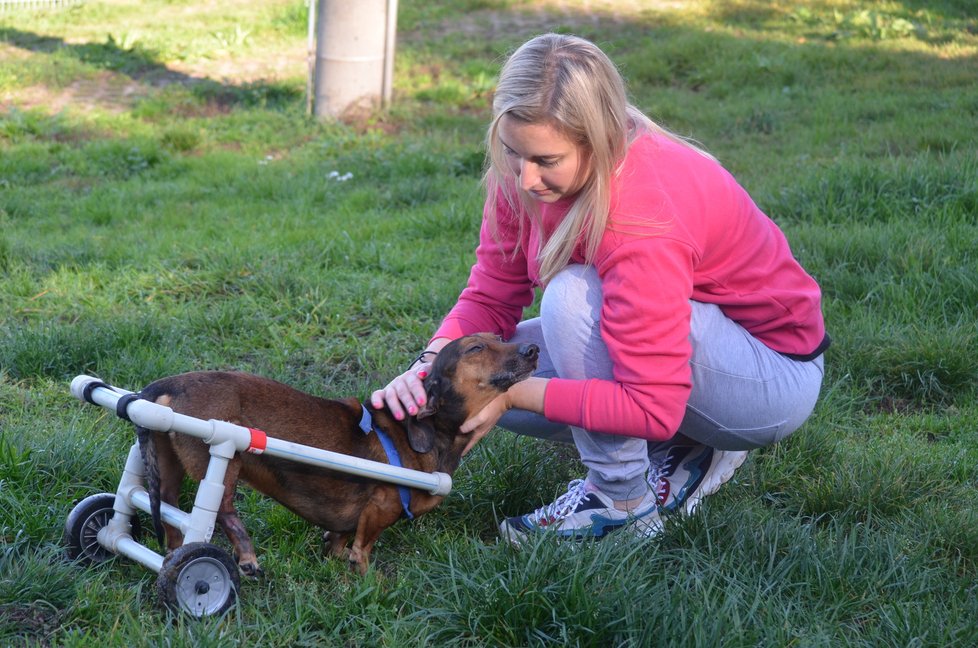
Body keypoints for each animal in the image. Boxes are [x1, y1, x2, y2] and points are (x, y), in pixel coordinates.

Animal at [134, 334, 536, 572]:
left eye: (500, 337)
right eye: (476, 349)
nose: (533, 350)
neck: (431, 432)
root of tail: (165, 386)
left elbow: (341, 536)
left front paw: (334, 554)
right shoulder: (381, 506)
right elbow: (363, 550)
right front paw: (369, 583)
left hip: (169, 462)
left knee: (170, 515)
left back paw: (171, 555)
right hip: (223, 460)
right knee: (222, 510)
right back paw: (245, 554)